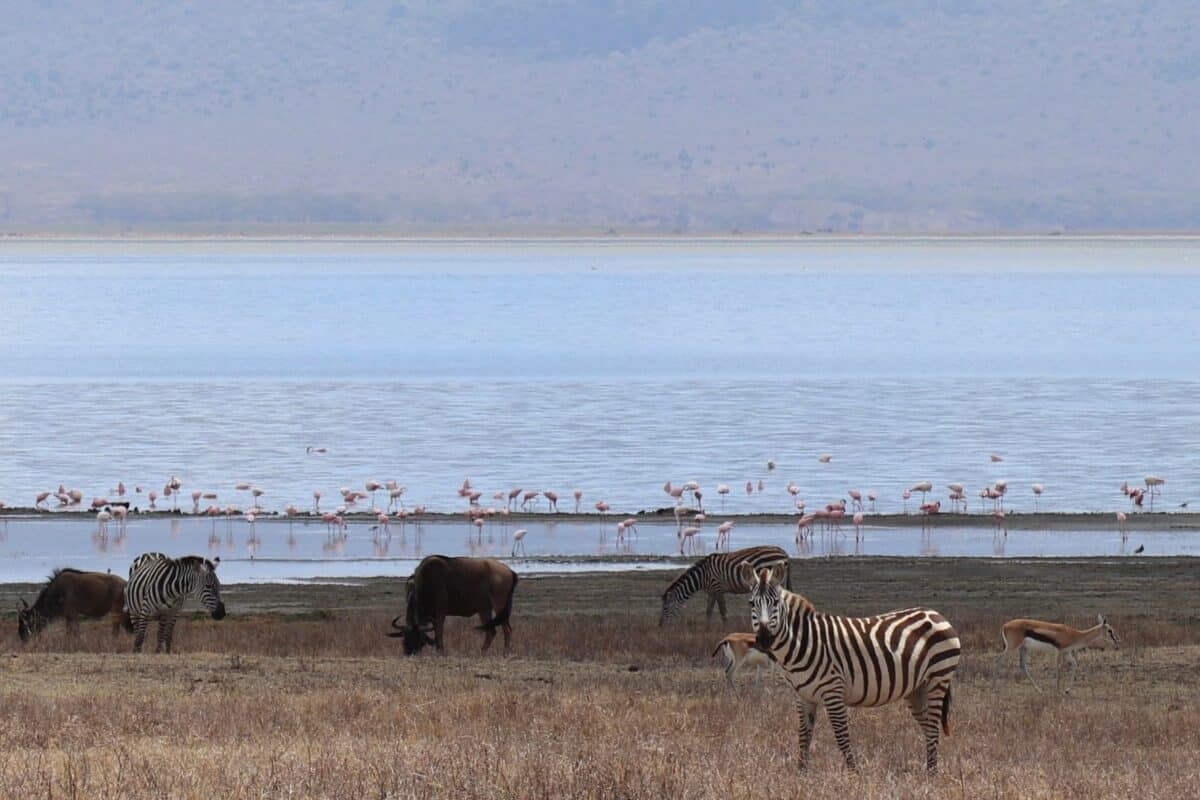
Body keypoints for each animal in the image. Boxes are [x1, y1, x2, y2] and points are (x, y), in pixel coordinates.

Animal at [659, 545, 790, 625]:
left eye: (665, 608)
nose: (660, 627)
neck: (703, 576)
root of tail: (782, 551)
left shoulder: (718, 588)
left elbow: (723, 612)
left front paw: (725, 629)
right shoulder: (712, 591)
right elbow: (709, 611)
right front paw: (707, 629)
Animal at [740, 561, 960, 773]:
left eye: (775, 602)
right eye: (751, 603)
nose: (764, 639)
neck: (804, 642)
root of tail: (936, 614)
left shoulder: (833, 690)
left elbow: (841, 736)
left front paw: (854, 774)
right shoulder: (803, 696)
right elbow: (803, 736)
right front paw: (801, 774)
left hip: (937, 679)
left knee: (933, 727)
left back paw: (932, 774)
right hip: (916, 689)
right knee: (928, 726)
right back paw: (930, 770)